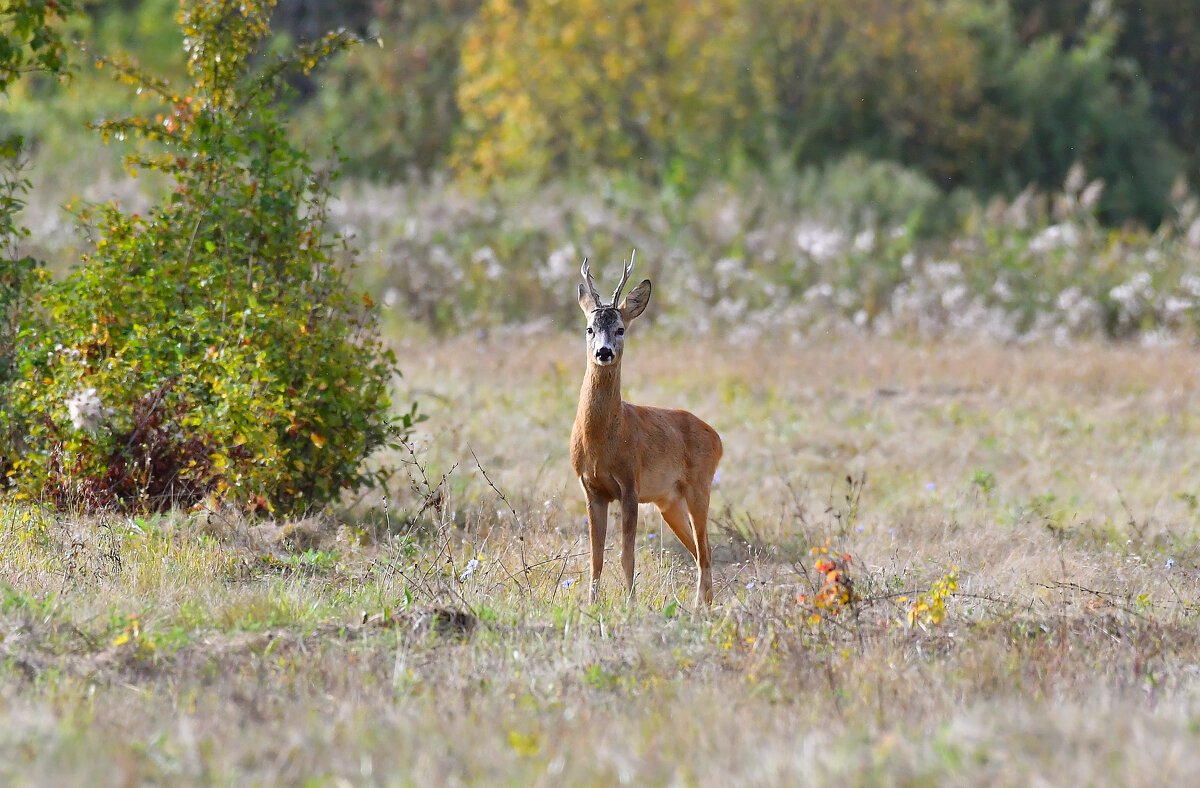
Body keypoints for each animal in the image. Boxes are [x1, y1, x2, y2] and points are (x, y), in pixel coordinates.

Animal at [571, 251, 720, 602]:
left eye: (621, 329)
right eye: (589, 328)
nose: (604, 352)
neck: (601, 442)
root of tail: (717, 437)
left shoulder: (630, 484)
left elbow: (627, 554)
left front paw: (630, 603)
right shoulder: (591, 489)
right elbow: (595, 557)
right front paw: (591, 603)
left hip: (699, 486)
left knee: (706, 551)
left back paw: (699, 607)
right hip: (669, 502)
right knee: (701, 550)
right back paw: (706, 605)